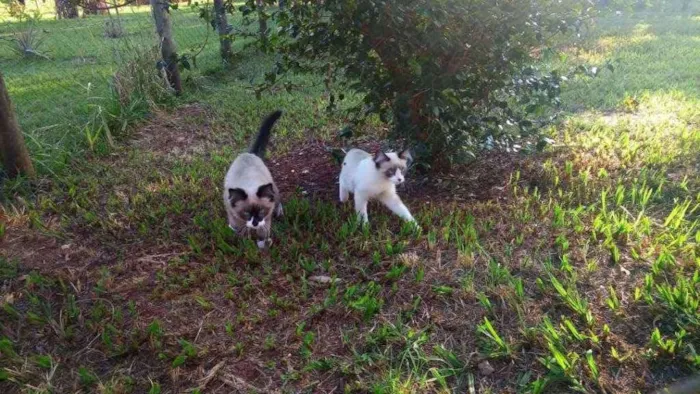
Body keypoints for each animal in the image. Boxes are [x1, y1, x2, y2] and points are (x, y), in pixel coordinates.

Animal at [221, 109, 282, 248]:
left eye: (261, 212)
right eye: (247, 213)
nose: (255, 223)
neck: (249, 185)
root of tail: (249, 153)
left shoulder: (266, 218)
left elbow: (263, 232)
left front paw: (262, 244)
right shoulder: (235, 216)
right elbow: (240, 230)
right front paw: (244, 243)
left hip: (274, 189)